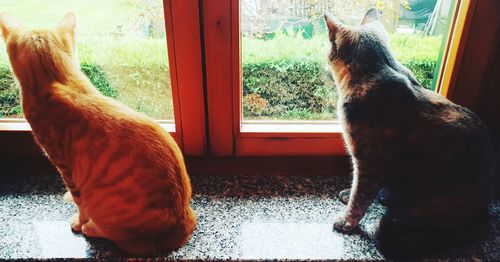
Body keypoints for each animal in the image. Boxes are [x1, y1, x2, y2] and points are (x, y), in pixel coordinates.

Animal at [0, 12, 195, 256]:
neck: (58, 81)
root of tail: (182, 228)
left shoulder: (66, 169)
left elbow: (79, 204)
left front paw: (78, 221)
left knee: (126, 240)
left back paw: (92, 228)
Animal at [324, 8, 492, 258]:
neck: (376, 70)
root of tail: (484, 211)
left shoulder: (370, 161)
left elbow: (360, 197)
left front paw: (347, 222)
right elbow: (358, 191)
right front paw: (348, 195)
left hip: (429, 201)